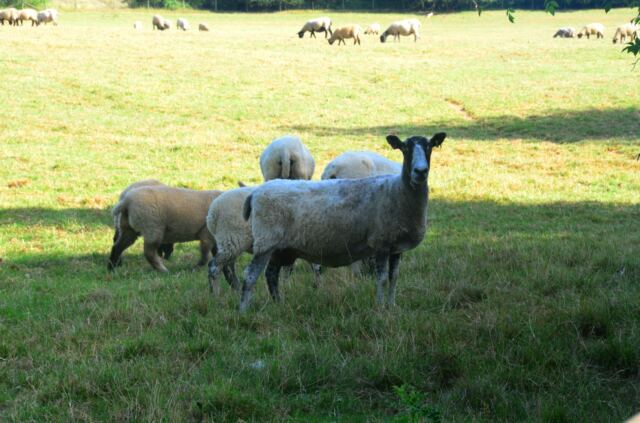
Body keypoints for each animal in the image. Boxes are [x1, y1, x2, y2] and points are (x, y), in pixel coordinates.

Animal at [238, 132, 447, 312]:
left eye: (430, 147)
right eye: (404, 148)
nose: (420, 171)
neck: (397, 190)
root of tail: (255, 194)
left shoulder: (396, 247)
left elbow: (394, 278)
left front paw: (392, 306)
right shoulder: (381, 243)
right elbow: (382, 279)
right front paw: (380, 308)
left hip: (280, 248)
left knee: (271, 274)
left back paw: (279, 304)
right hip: (266, 241)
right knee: (250, 275)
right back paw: (244, 311)